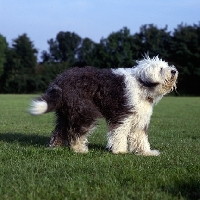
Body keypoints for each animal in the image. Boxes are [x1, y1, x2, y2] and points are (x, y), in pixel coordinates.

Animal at [29, 55, 178, 155]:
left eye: (166, 66)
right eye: (161, 69)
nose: (174, 71)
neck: (142, 84)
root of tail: (59, 80)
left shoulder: (139, 119)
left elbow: (140, 137)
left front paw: (146, 152)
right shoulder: (123, 114)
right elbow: (119, 132)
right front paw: (120, 150)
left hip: (66, 112)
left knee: (60, 131)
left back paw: (55, 147)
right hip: (83, 110)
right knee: (76, 132)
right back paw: (79, 149)